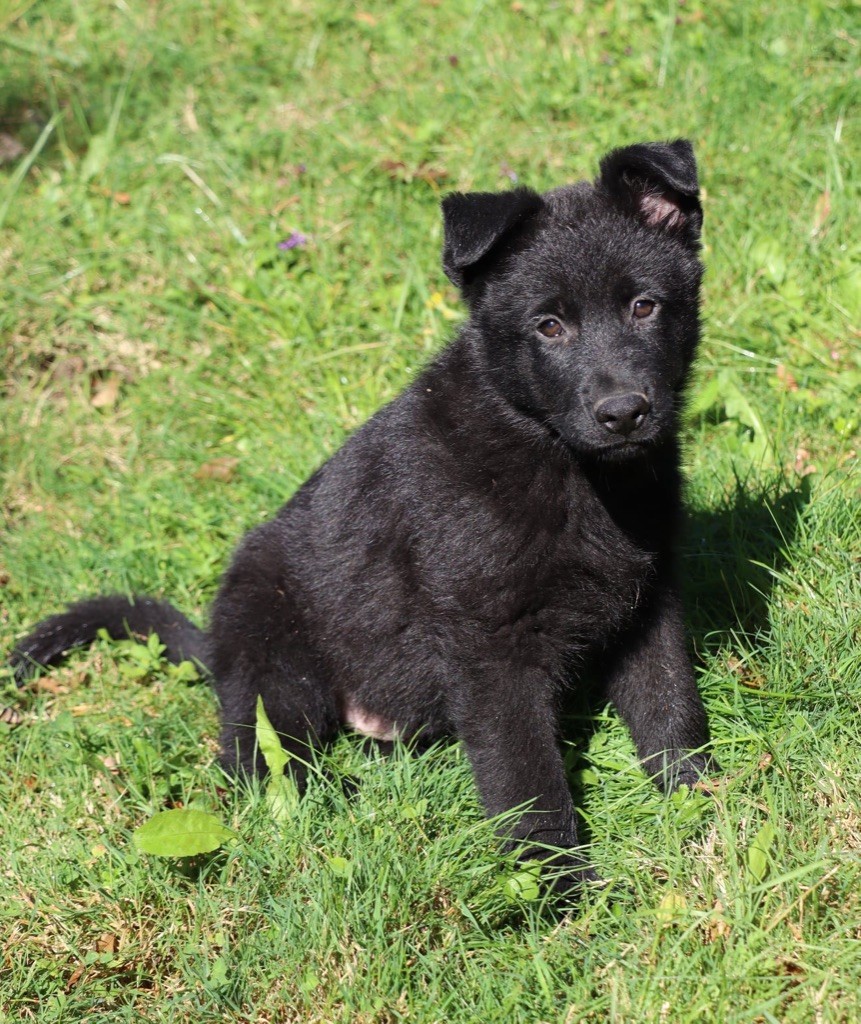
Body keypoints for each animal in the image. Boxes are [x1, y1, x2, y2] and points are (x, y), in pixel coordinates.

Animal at [10, 140, 712, 892]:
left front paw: (704, 807)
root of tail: (215, 647)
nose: (623, 413)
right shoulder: (489, 647)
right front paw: (554, 887)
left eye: (644, 306)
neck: (567, 465)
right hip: (274, 658)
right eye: (548, 326)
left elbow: (669, 706)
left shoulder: (647, 600)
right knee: (253, 759)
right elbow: (525, 774)